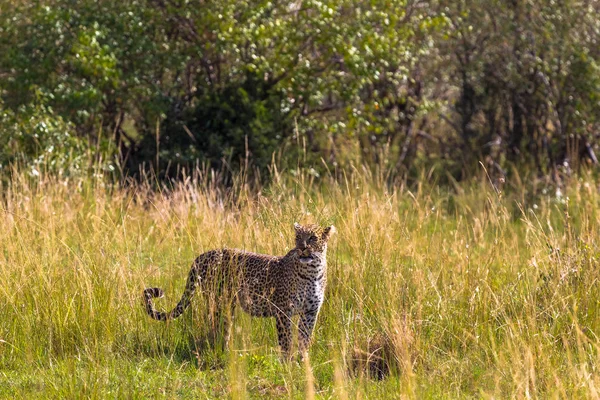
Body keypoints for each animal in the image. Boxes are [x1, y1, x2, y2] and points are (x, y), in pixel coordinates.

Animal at [143, 222, 336, 360]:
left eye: (312, 238)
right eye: (297, 237)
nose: (302, 247)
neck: (313, 271)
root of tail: (203, 255)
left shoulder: (310, 312)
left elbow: (305, 338)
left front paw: (303, 362)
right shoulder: (283, 311)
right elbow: (286, 339)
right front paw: (286, 363)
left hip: (228, 305)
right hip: (219, 302)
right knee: (215, 327)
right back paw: (222, 354)